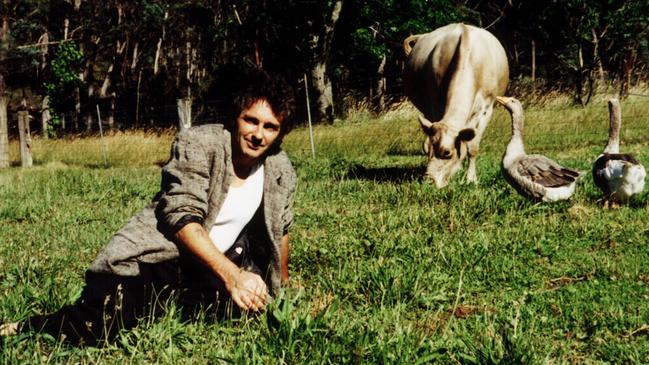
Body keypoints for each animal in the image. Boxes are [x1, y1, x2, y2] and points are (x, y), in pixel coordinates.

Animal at [402, 23, 508, 188]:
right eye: (427, 150)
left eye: (447, 153)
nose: (428, 180)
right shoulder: (435, 104)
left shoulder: (486, 110)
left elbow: (472, 148)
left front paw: (471, 178)